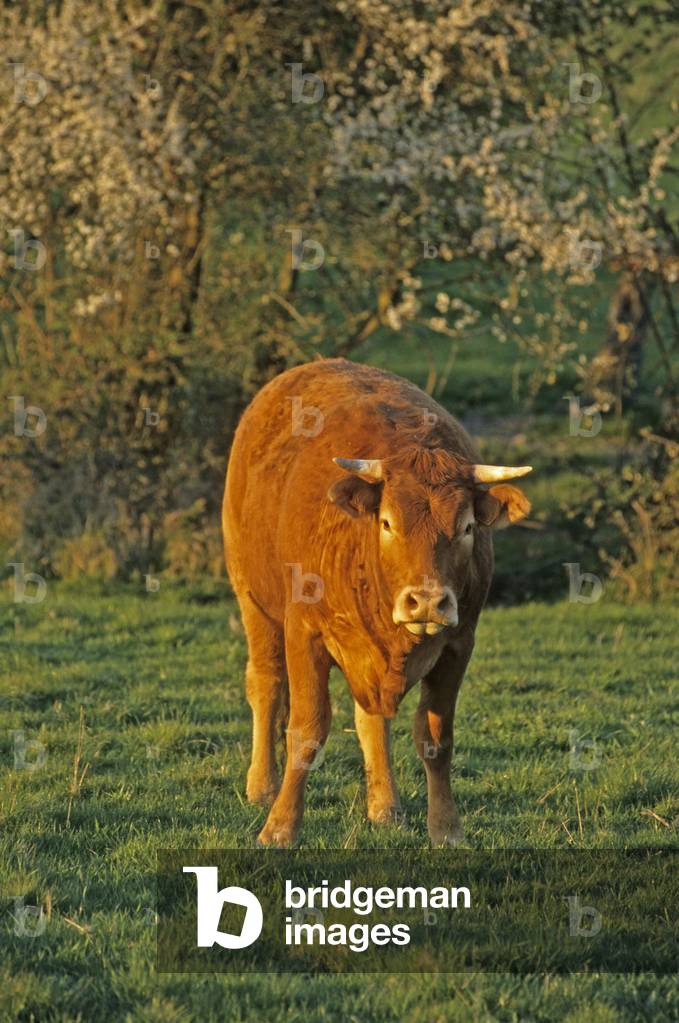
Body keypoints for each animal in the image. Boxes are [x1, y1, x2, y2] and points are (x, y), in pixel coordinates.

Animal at [222, 358, 532, 846]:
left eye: (467, 527)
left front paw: (446, 828)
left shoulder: (459, 643)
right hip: (253, 600)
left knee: (371, 718)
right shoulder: (304, 633)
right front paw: (281, 825)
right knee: (266, 683)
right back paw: (263, 785)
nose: (427, 602)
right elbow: (306, 730)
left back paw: (384, 805)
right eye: (387, 522)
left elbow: (435, 737)